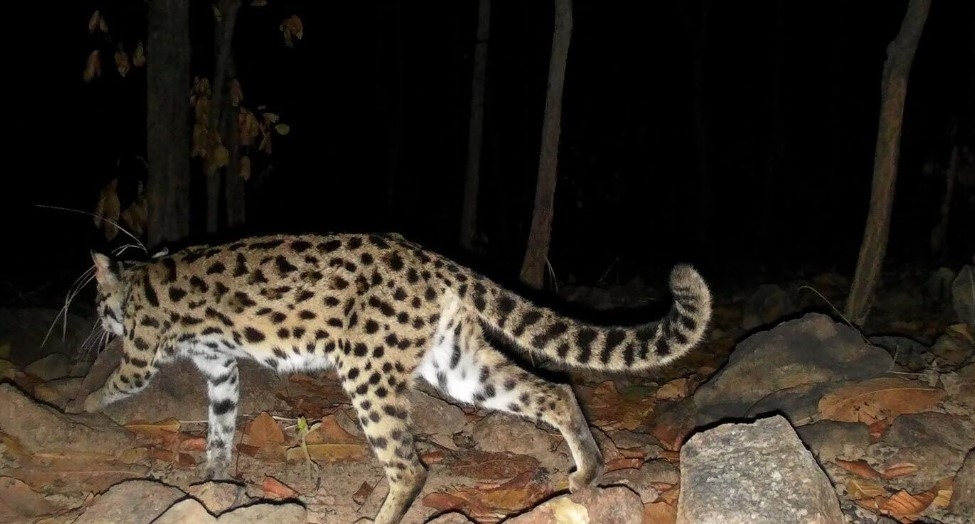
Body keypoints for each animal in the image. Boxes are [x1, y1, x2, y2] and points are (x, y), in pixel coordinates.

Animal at [79, 232, 712, 524]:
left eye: (97, 302)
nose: (96, 320)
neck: (138, 281)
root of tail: (435, 260)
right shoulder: (221, 369)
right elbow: (221, 422)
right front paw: (215, 476)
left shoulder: (141, 354)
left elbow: (117, 384)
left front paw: (82, 404)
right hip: (459, 365)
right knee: (553, 389)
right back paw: (587, 471)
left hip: (366, 367)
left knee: (411, 467)